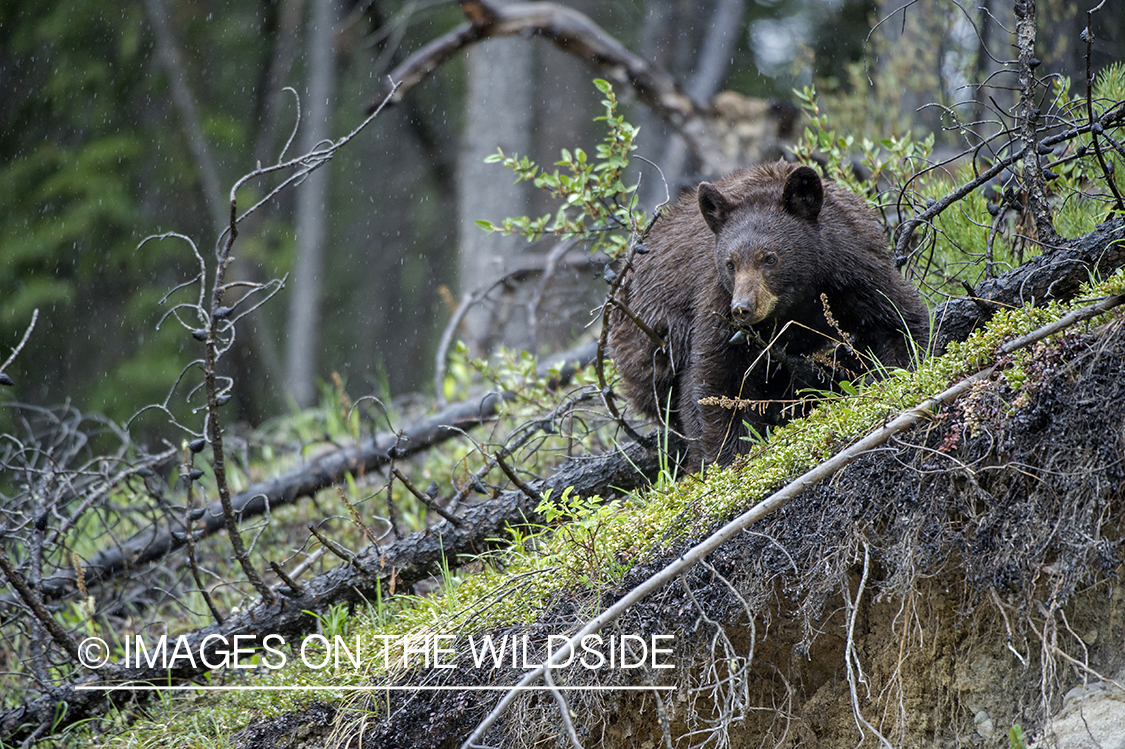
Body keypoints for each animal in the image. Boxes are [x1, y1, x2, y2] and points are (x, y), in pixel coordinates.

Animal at [607, 161, 930, 468]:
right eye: (730, 263)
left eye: (770, 258)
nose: (742, 308)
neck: (797, 299)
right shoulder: (716, 303)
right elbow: (718, 381)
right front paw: (731, 457)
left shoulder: (853, 271)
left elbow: (896, 318)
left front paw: (896, 374)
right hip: (652, 351)